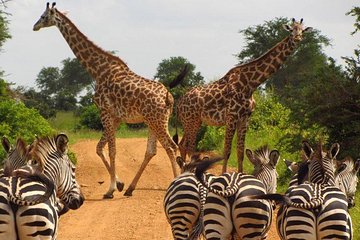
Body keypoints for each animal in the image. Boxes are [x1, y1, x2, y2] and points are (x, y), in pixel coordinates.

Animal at [32, 2, 187, 198]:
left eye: (43, 16)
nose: (34, 26)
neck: (98, 70)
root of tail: (168, 96)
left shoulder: (105, 111)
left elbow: (112, 150)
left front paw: (110, 189)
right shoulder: (116, 117)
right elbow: (100, 148)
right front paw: (119, 184)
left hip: (157, 120)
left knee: (171, 147)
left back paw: (175, 183)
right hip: (154, 120)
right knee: (152, 151)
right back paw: (130, 188)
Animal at [177, 18, 312, 172]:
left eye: (302, 30)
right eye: (291, 30)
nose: (297, 38)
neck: (250, 84)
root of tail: (179, 103)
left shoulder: (245, 118)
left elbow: (240, 152)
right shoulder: (231, 117)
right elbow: (226, 151)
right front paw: (224, 176)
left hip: (193, 121)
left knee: (182, 144)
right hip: (191, 120)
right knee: (189, 147)